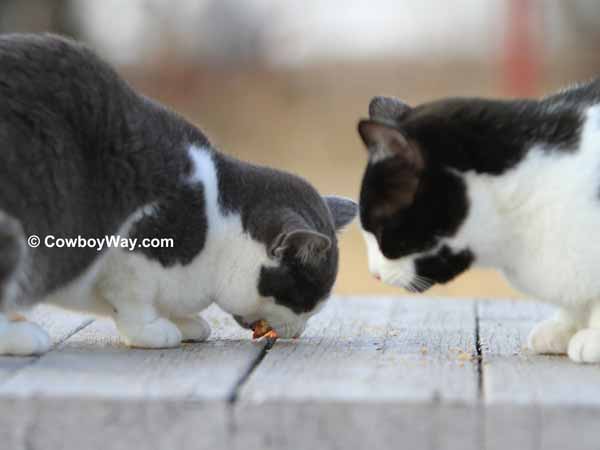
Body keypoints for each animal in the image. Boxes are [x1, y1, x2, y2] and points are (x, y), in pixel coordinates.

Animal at [0, 32, 356, 356]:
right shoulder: (134, 249)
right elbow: (132, 299)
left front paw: (184, 321)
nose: (299, 330)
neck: (215, 225)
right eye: (304, 300)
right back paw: (23, 336)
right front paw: (151, 330)